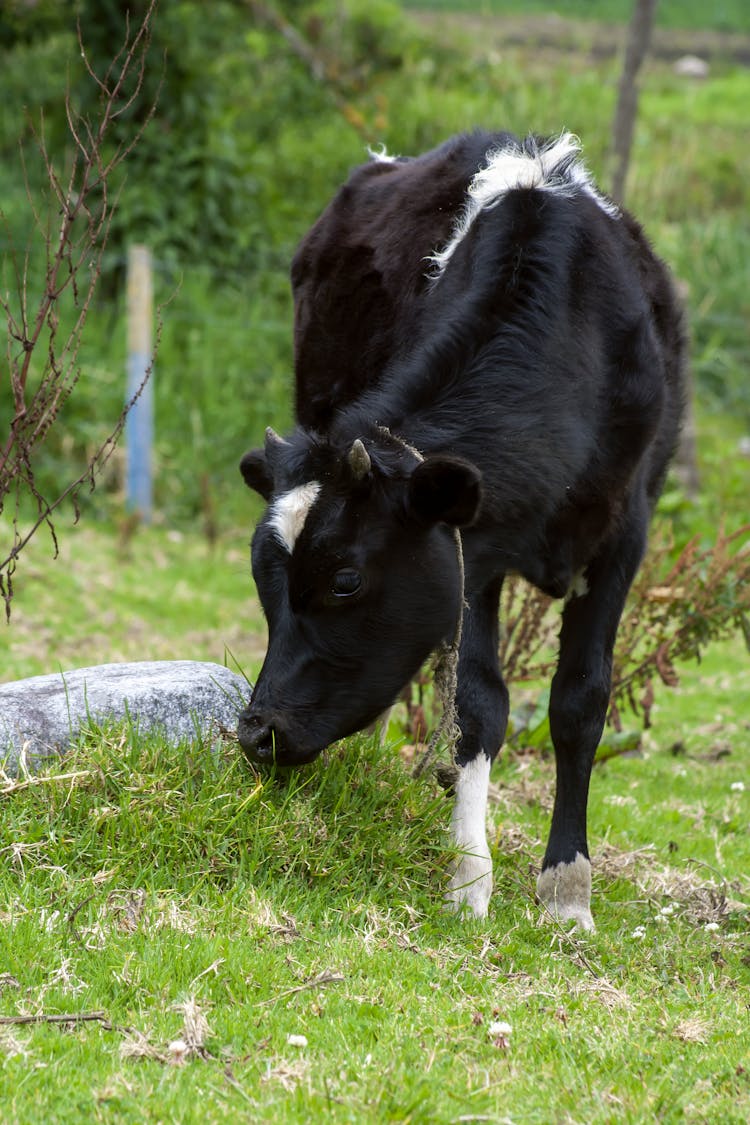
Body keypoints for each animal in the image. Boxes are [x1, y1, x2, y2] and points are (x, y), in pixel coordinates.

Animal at [239, 131, 688, 927]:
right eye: (265, 579)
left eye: (346, 579)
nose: (257, 733)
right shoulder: (471, 559)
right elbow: (477, 706)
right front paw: (469, 876)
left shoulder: (623, 536)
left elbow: (580, 701)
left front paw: (566, 889)